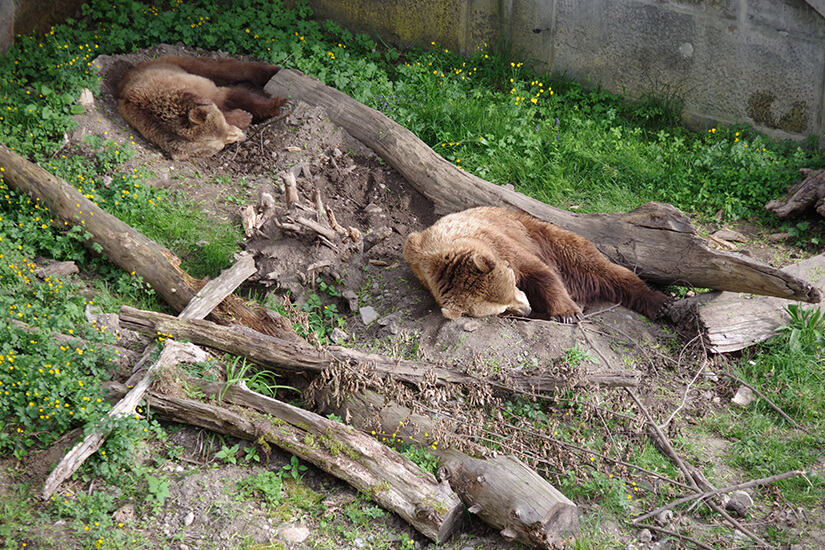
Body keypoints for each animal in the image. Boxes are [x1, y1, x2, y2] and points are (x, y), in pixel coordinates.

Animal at [114, 55, 284, 160]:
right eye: (220, 146)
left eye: (224, 128)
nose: (241, 135)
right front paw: (244, 116)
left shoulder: (197, 87)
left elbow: (233, 95)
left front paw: (277, 104)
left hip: (173, 64)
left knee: (220, 69)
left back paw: (271, 71)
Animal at [402, 209, 672, 326]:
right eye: (501, 309)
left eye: (512, 285)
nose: (527, 309)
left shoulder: (502, 242)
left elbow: (540, 273)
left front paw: (567, 313)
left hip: (544, 235)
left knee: (598, 267)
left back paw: (659, 303)